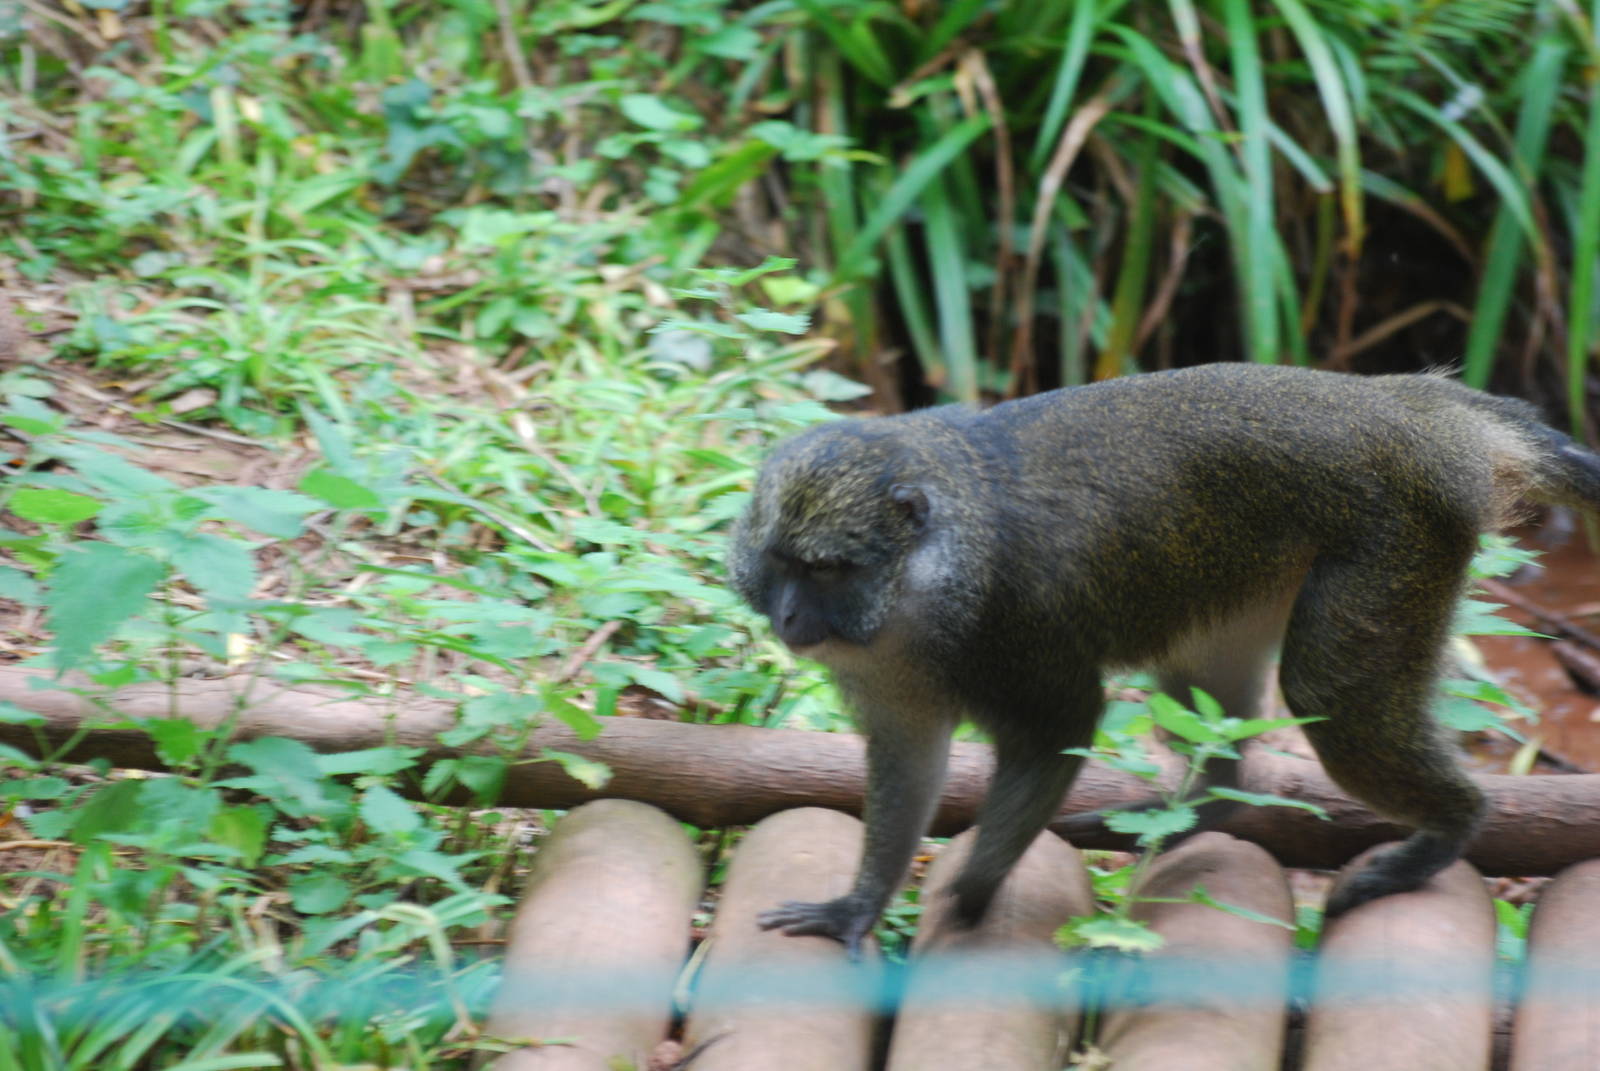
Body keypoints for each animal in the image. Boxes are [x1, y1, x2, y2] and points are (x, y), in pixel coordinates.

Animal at [726, 362, 1600, 955]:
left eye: (829, 570)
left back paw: (1451, 827)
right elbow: (909, 758)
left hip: (1399, 542)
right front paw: (859, 905)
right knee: (1210, 690)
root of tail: (1420, 412)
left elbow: (1061, 728)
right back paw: (1204, 806)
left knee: (1330, 692)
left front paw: (968, 898)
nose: (791, 617)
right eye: (781, 563)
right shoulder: (884, 672)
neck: (918, 587)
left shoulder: (1016, 632)